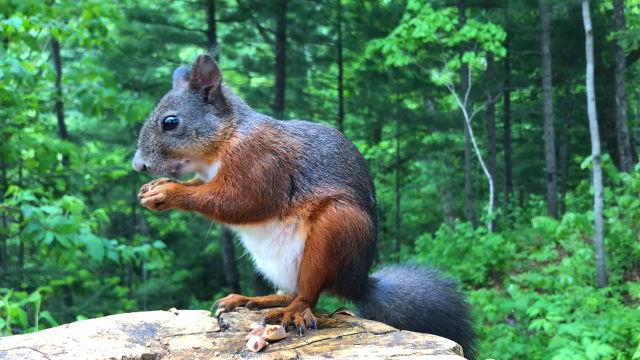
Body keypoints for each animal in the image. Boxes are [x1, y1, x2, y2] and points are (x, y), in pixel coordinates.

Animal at [132, 54, 476, 358]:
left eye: (170, 122)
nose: (138, 165)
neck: (225, 140)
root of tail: (356, 281)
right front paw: (153, 189)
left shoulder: (262, 164)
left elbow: (240, 202)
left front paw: (169, 192)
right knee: (291, 290)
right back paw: (254, 299)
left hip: (335, 231)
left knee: (309, 294)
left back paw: (292, 311)